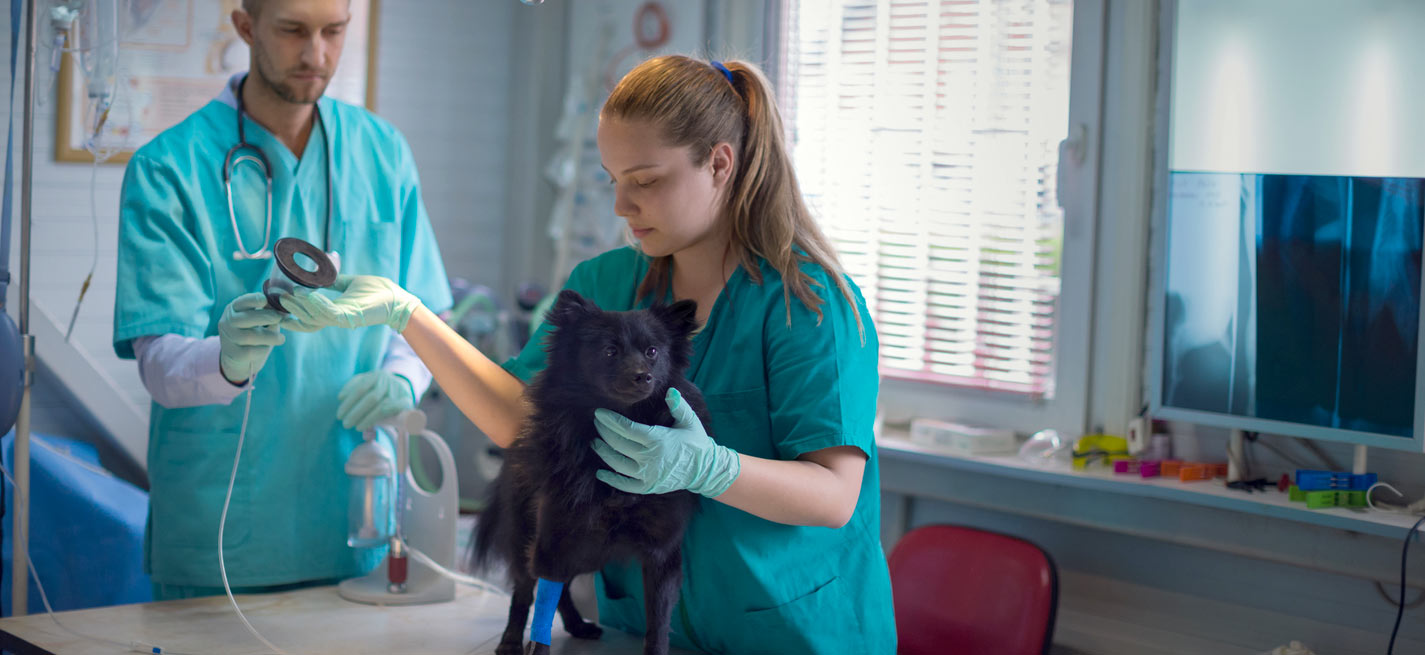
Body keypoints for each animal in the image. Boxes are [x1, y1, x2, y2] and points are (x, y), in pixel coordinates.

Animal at [473, 289, 706, 655]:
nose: (643, 376)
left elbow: (658, 622)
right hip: (535, 537)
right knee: (525, 590)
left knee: (561, 589)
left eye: (652, 351)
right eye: (609, 351)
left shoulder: (662, 554)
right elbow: (540, 608)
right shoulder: (554, 538)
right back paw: (511, 641)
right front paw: (534, 646)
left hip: (588, 551)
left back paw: (577, 625)